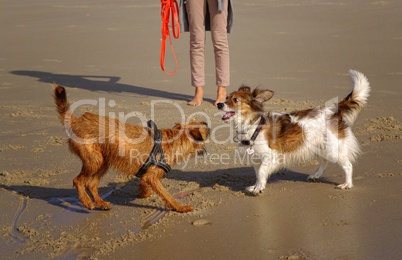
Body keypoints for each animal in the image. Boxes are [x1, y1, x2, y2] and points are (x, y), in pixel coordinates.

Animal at [53, 85, 209, 213]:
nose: (207, 123)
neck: (174, 141)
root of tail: (77, 121)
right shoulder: (152, 177)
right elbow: (166, 195)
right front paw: (180, 207)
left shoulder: (146, 175)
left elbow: (144, 184)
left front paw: (144, 193)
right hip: (94, 160)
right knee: (78, 181)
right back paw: (86, 201)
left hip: (103, 162)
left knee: (91, 184)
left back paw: (100, 203)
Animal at [218, 70, 372, 194]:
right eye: (226, 98)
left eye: (235, 100)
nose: (219, 104)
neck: (253, 126)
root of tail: (334, 112)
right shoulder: (256, 158)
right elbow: (258, 174)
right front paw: (256, 186)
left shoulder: (270, 156)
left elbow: (261, 172)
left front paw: (259, 188)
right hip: (320, 147)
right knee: (324, 161)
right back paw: (315, 175)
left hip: (333, 149)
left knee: (347, 165)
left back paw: (347, 184)